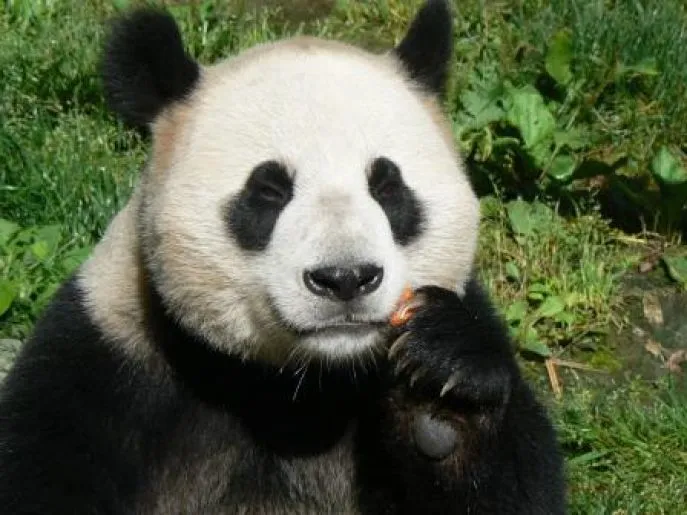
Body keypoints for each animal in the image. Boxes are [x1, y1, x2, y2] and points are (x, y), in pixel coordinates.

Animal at [0, 1, 566, 513]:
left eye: (387, 186)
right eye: (269, 192)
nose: (345, 278)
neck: (297, 385)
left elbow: (513, 487)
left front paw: (440, 396)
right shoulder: (104, 363)